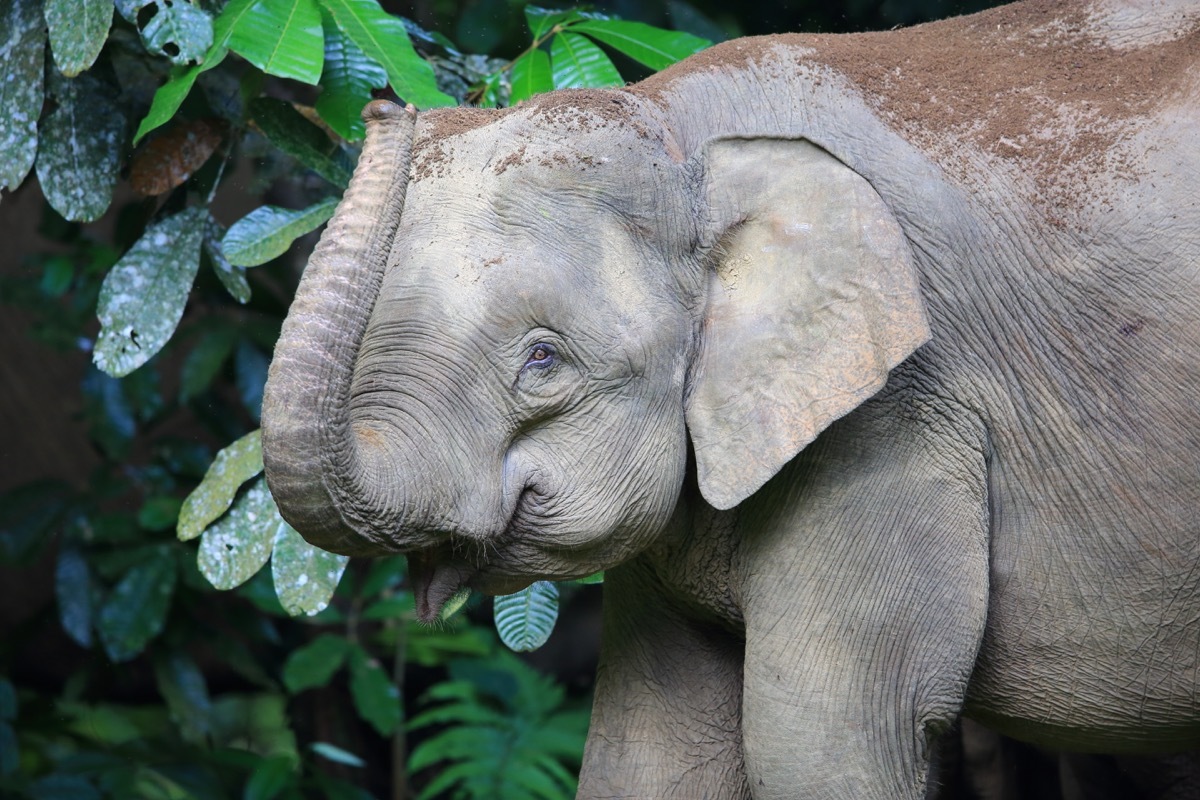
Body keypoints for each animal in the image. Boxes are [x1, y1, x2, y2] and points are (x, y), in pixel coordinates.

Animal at [262, 0, 1200, 796]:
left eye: (542, 360)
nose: (384, 108)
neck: (683, 136)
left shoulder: (901, 413)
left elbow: (825, 741)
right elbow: (648, 747)